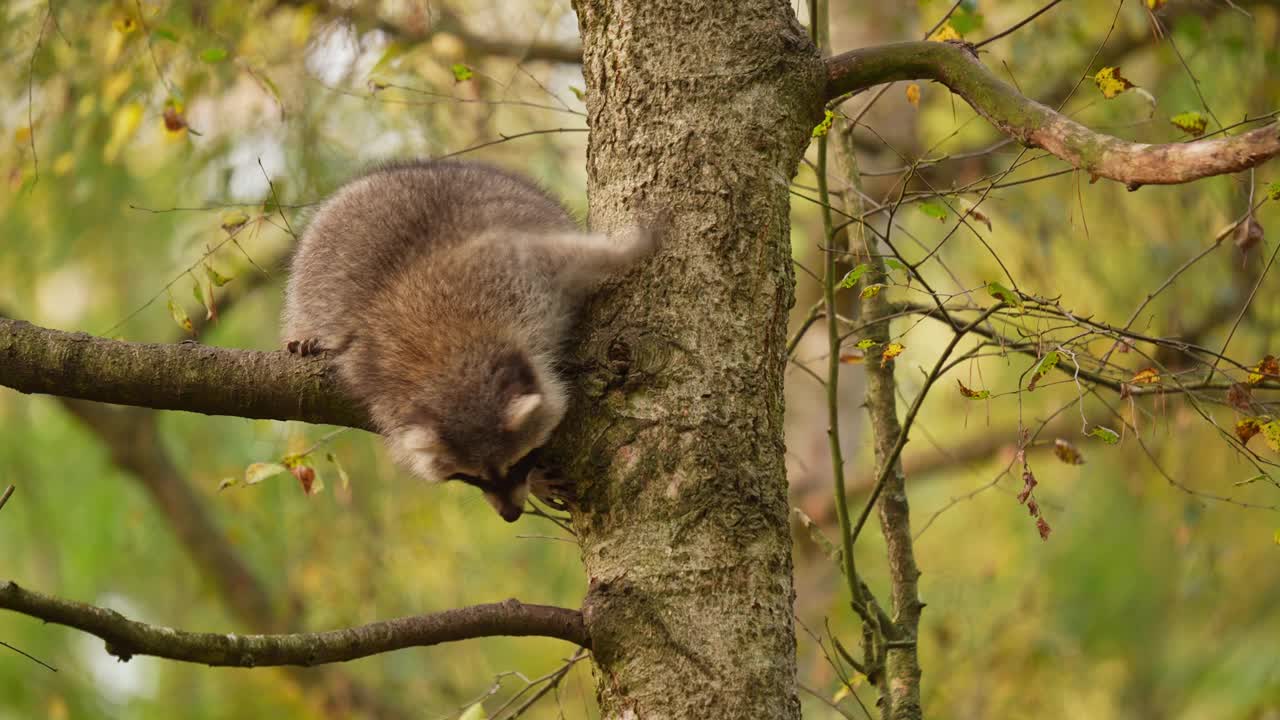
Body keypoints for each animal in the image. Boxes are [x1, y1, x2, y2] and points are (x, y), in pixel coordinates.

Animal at [284, 161, 655, 520]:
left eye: (517, 463)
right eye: (470, 477)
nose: (511, 515)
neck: (452, 359)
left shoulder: (510, 270)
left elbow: (569, 255)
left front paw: (630, 247)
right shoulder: (371, 370)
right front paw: (538, 481)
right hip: (310, 272)